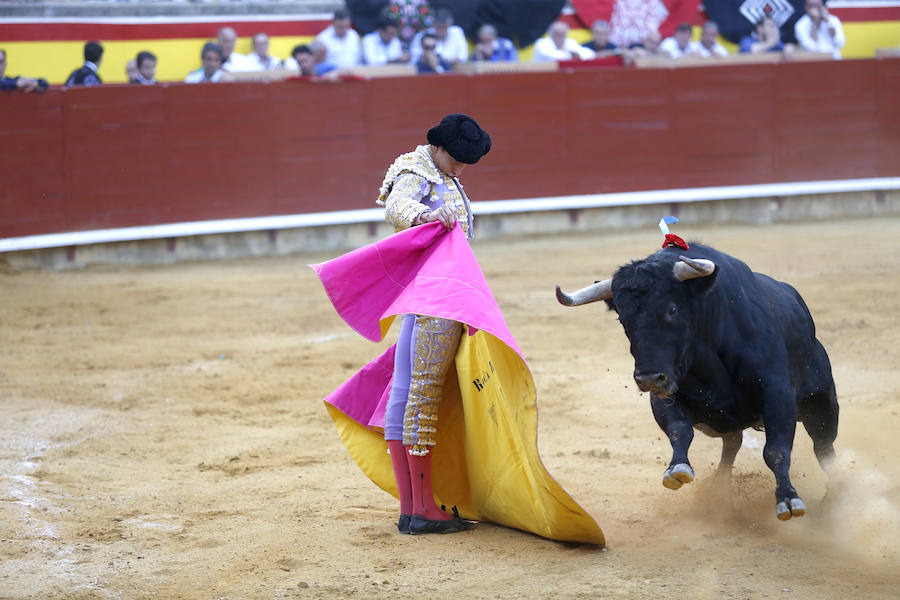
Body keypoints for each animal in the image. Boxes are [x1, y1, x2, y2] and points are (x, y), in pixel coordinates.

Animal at [560, 244, 840, 520]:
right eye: (622, 318)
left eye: (672, 309)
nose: (648, 378)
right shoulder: (667, 394)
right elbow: (679, 429)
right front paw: (677, 469)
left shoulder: (777, 392)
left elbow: (776, 450)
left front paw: (788, 499)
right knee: (733, 443)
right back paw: (719, 491)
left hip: (822, 404)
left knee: (824, 449)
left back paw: (833, 496)